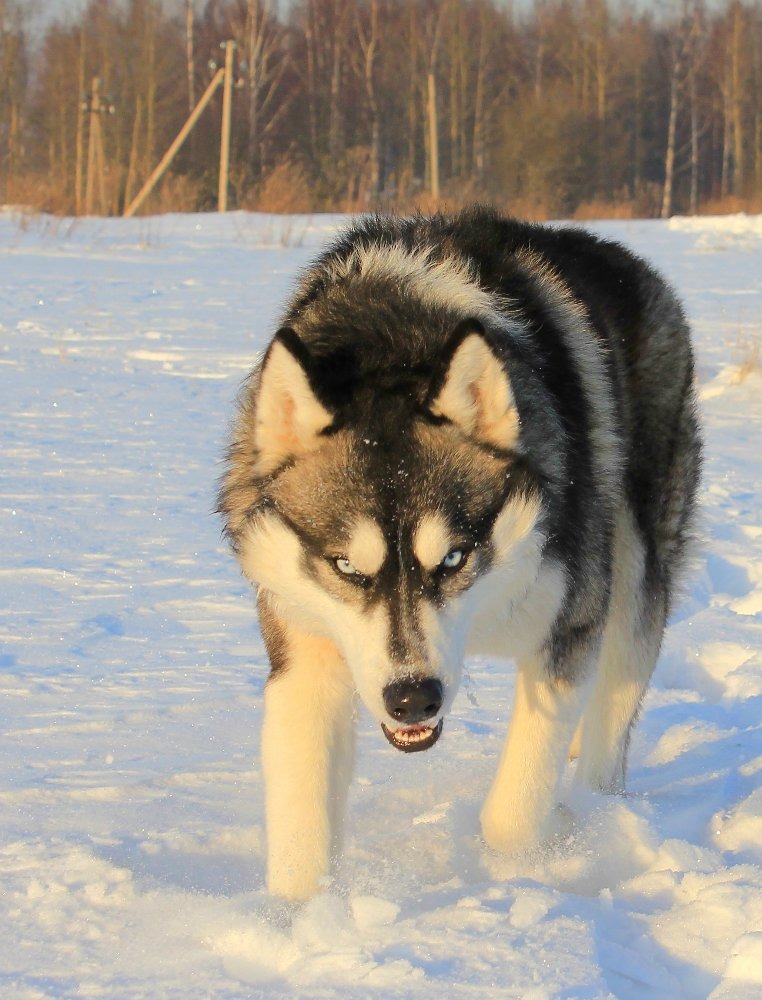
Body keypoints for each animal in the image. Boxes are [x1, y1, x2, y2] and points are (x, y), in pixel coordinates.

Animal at [217, 209, 696, 900]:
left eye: (452, 559)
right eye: (345, 567)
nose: (412, 699)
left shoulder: (568, 628)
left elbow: (511, 814)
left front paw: (519, 867)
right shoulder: (305, 652)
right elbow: (301, 834)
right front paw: (299, 918)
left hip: (633, 580)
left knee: (610, 723)